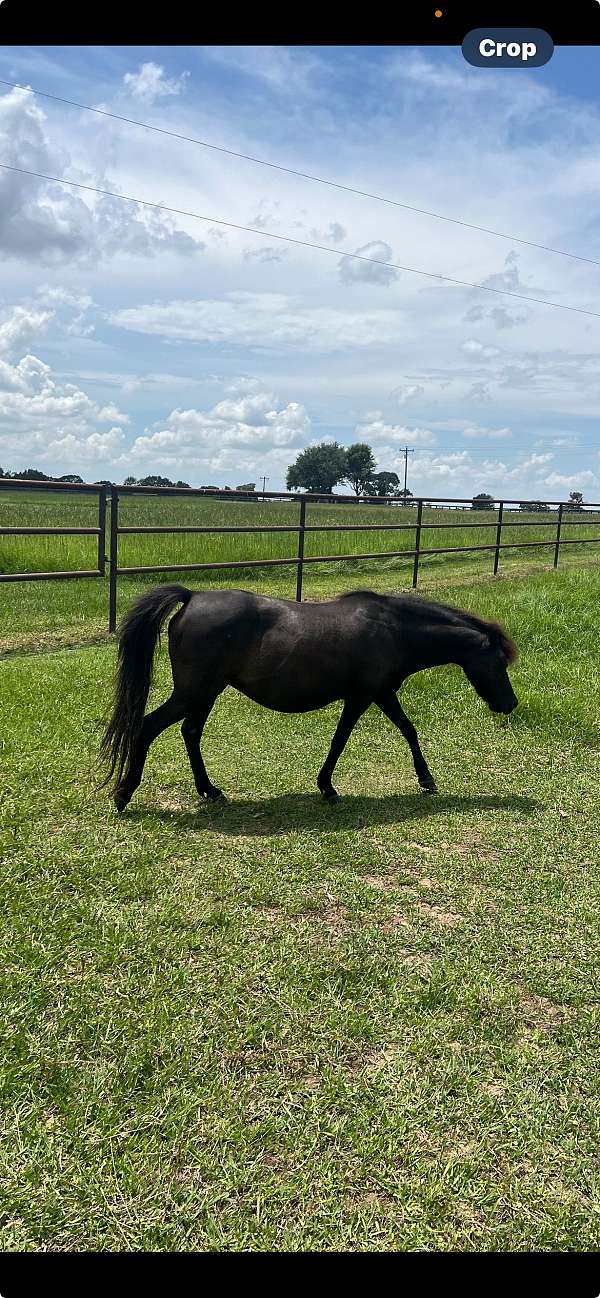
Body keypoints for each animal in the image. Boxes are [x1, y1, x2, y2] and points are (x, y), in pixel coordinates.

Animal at [100, 584, 516, 804]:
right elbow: (340, 740)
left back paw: (209, 790)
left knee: (190, 733)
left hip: (205, 694)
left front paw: (426, 779)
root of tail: (192, 598)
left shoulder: (382, 693)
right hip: (195, 692)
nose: (510, 704)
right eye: (498, 662)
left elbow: (408, 730)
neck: (395, 630)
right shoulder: (361, 697)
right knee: (147, 727)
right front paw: (327, 787)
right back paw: (124, 793)